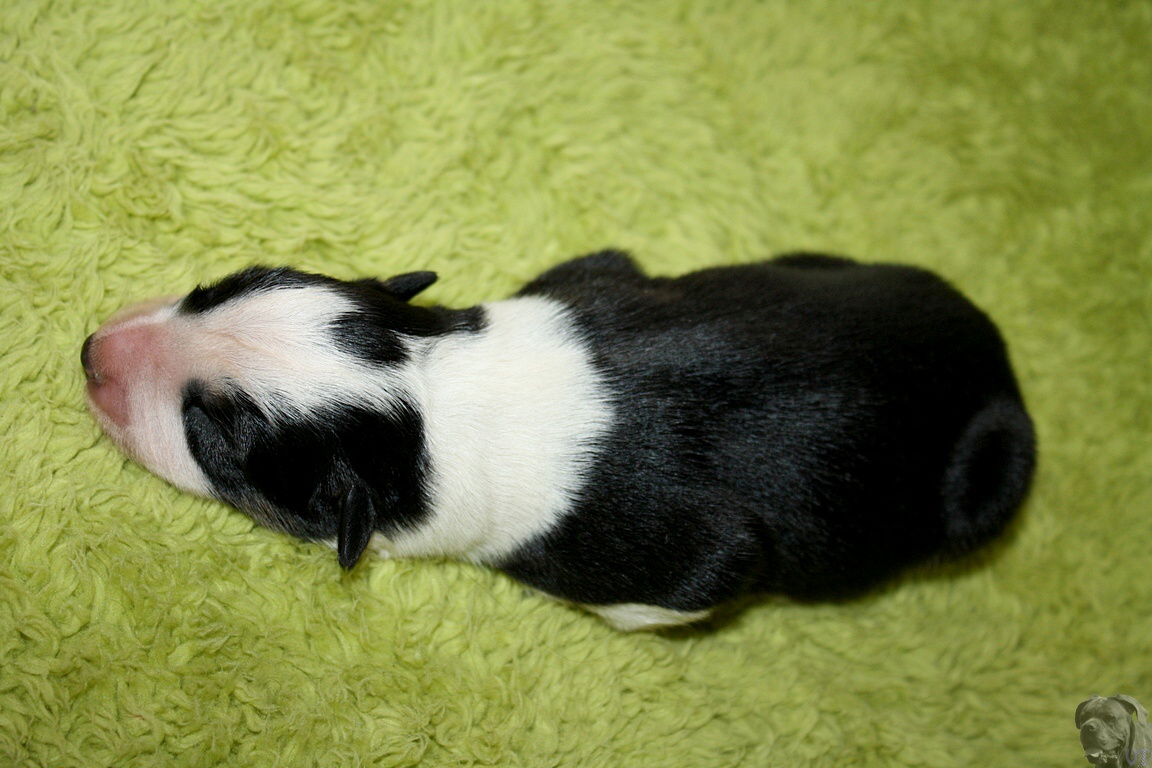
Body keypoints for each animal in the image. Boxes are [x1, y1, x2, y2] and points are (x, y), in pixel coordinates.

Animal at [82, 251, 1035, 630]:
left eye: (209, 438)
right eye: (213, 290)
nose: (90, 352)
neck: (427, 403)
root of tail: (1001, 358)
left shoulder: (698, 553)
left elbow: (709, 573)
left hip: (994, 477)